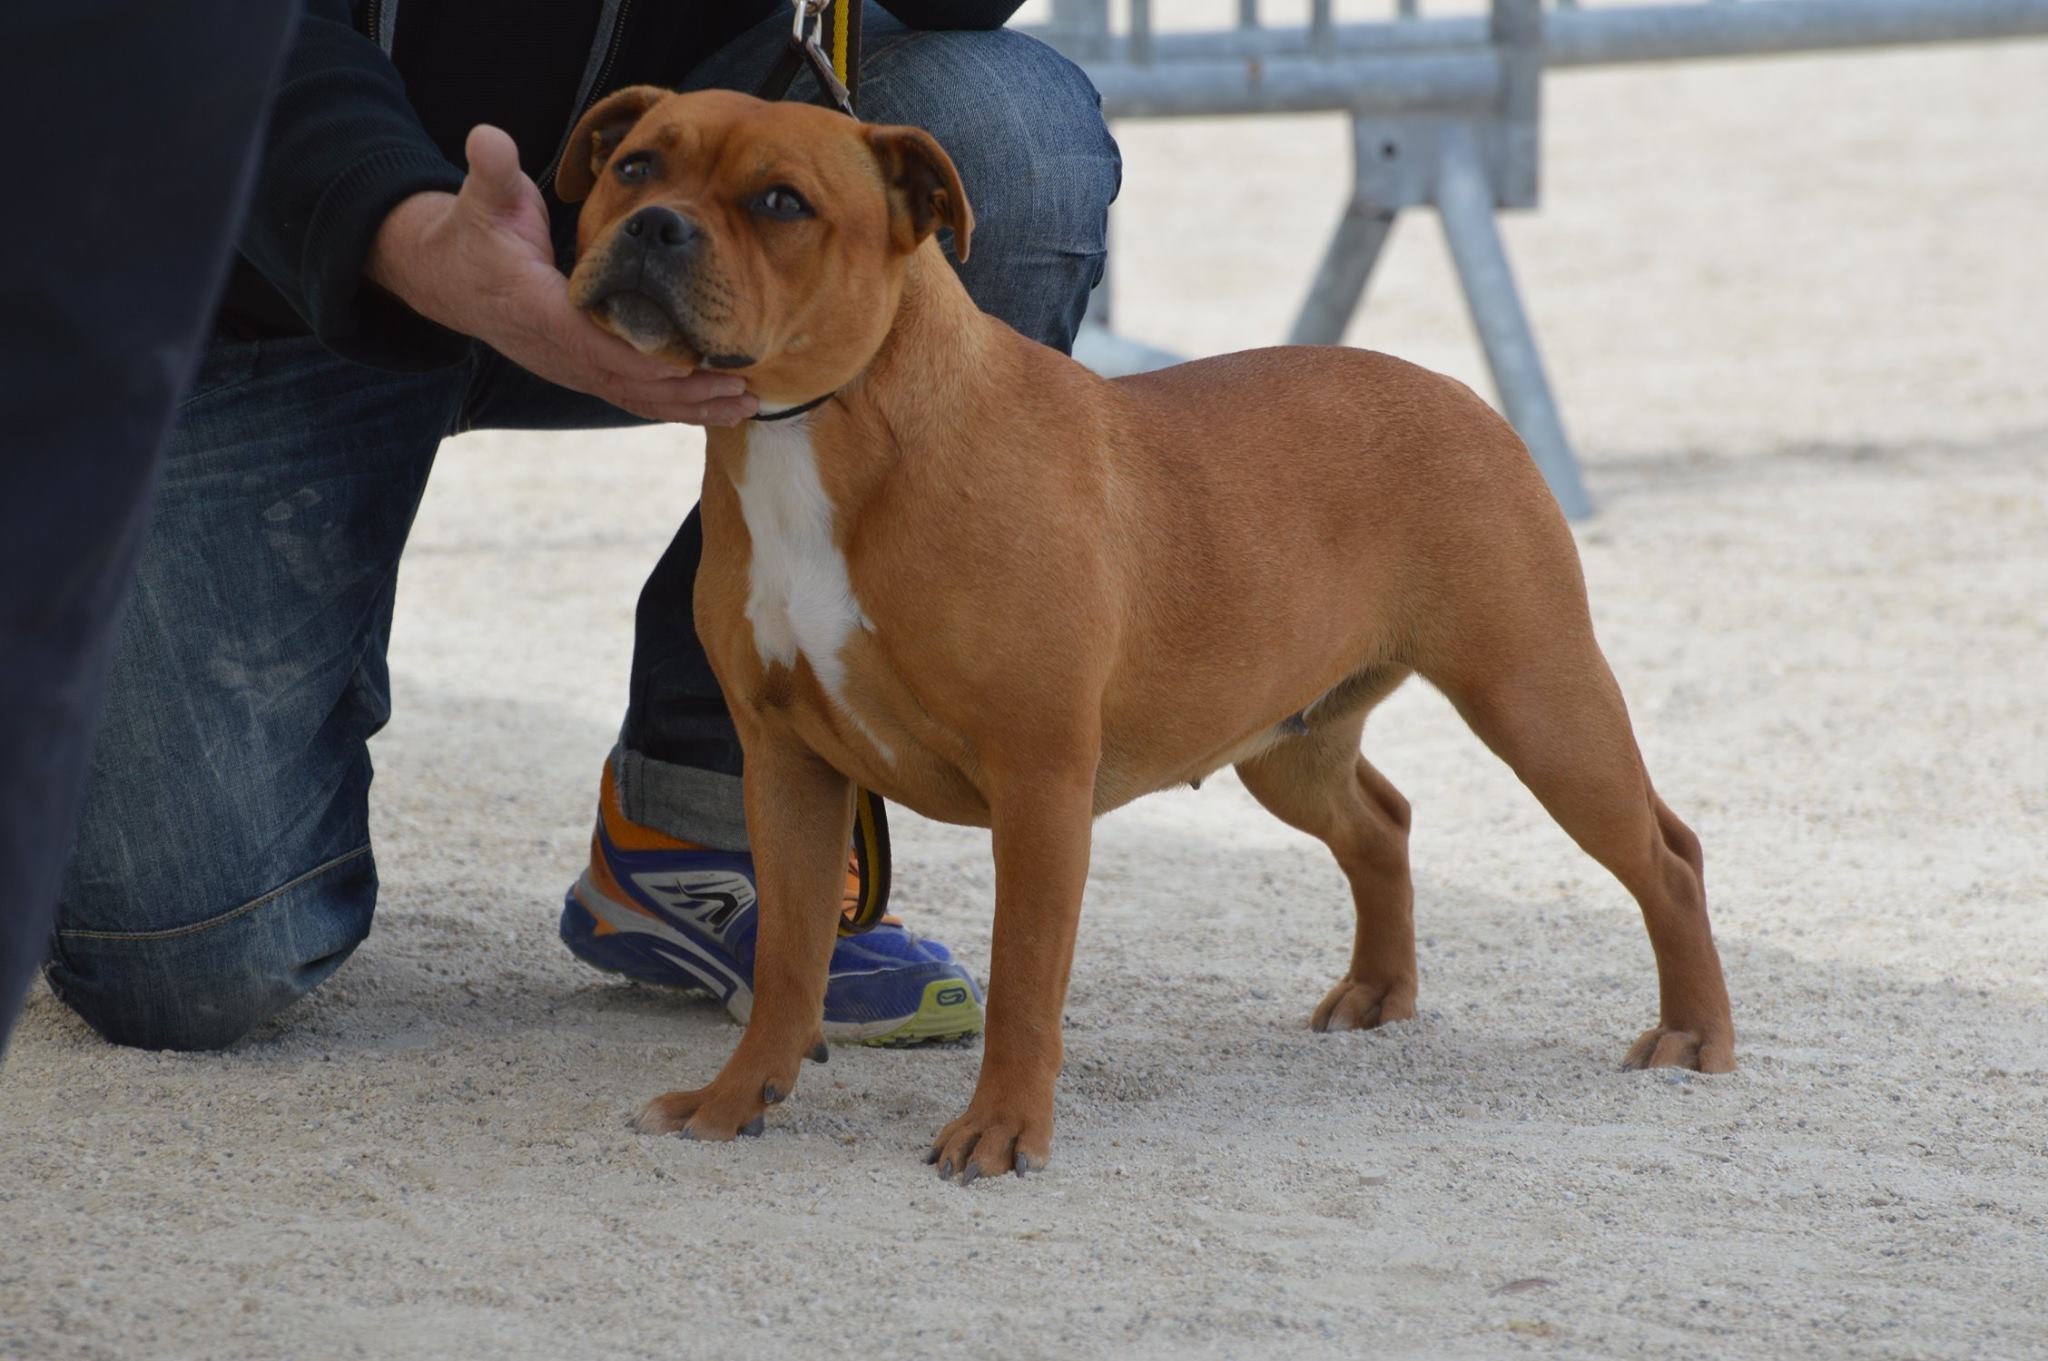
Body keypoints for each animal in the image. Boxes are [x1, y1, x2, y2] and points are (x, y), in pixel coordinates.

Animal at [548, 90, 1728, 1187]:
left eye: (781, 203)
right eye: (633, 164)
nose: (655, 225)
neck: (825, 429)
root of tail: (1462, 395)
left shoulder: (1037, 781)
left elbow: (1024, 978)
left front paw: (999, 1131)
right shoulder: (786, 764)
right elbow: (791, 959)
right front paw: (733, 1097)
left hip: (1539, 706)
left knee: (1664, 853)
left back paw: (1693, 1036)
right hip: (1292, 743)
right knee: (1380, 823)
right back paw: (1377, 993)